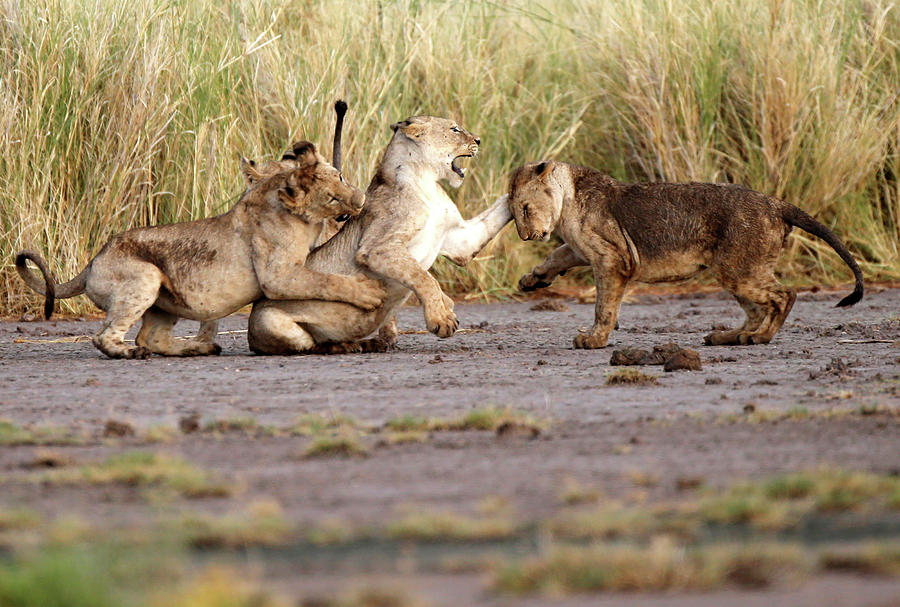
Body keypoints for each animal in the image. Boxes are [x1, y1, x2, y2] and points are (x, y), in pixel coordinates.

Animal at [15, 142, 384, 358]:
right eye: (332, 197)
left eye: (340, 175)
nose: (359, 200)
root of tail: (93, 262)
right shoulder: (278, 276)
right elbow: (327, 281)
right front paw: (368, 293)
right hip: (143, 278)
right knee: (105, 337)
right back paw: (132, 353)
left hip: (163, 299)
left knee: (151, 337)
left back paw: (197, 347)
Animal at [244, 116, 512, 354]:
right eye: (454, 129)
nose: (478, 140)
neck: (427, 183)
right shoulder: (376, 247)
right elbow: (424, 277)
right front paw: (442, 318)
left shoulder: (460, 242)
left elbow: (497, 212)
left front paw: (521, 186)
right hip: (270, 321)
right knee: (308, 345)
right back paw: (346, 346)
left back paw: (365, 343)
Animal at [506, 162, 864, 350]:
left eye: (524, 208)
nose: (525, 236)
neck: (567, 199)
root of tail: (776, 203)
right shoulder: (584, 249)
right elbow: (557, 256)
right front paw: (531, 280)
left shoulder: (614, 259)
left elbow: (604, 306)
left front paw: (594, 339)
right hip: (734, 268)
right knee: (755, 309)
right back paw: (729, 335)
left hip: (738, 269)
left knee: (784, 295)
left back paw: (758, 337)